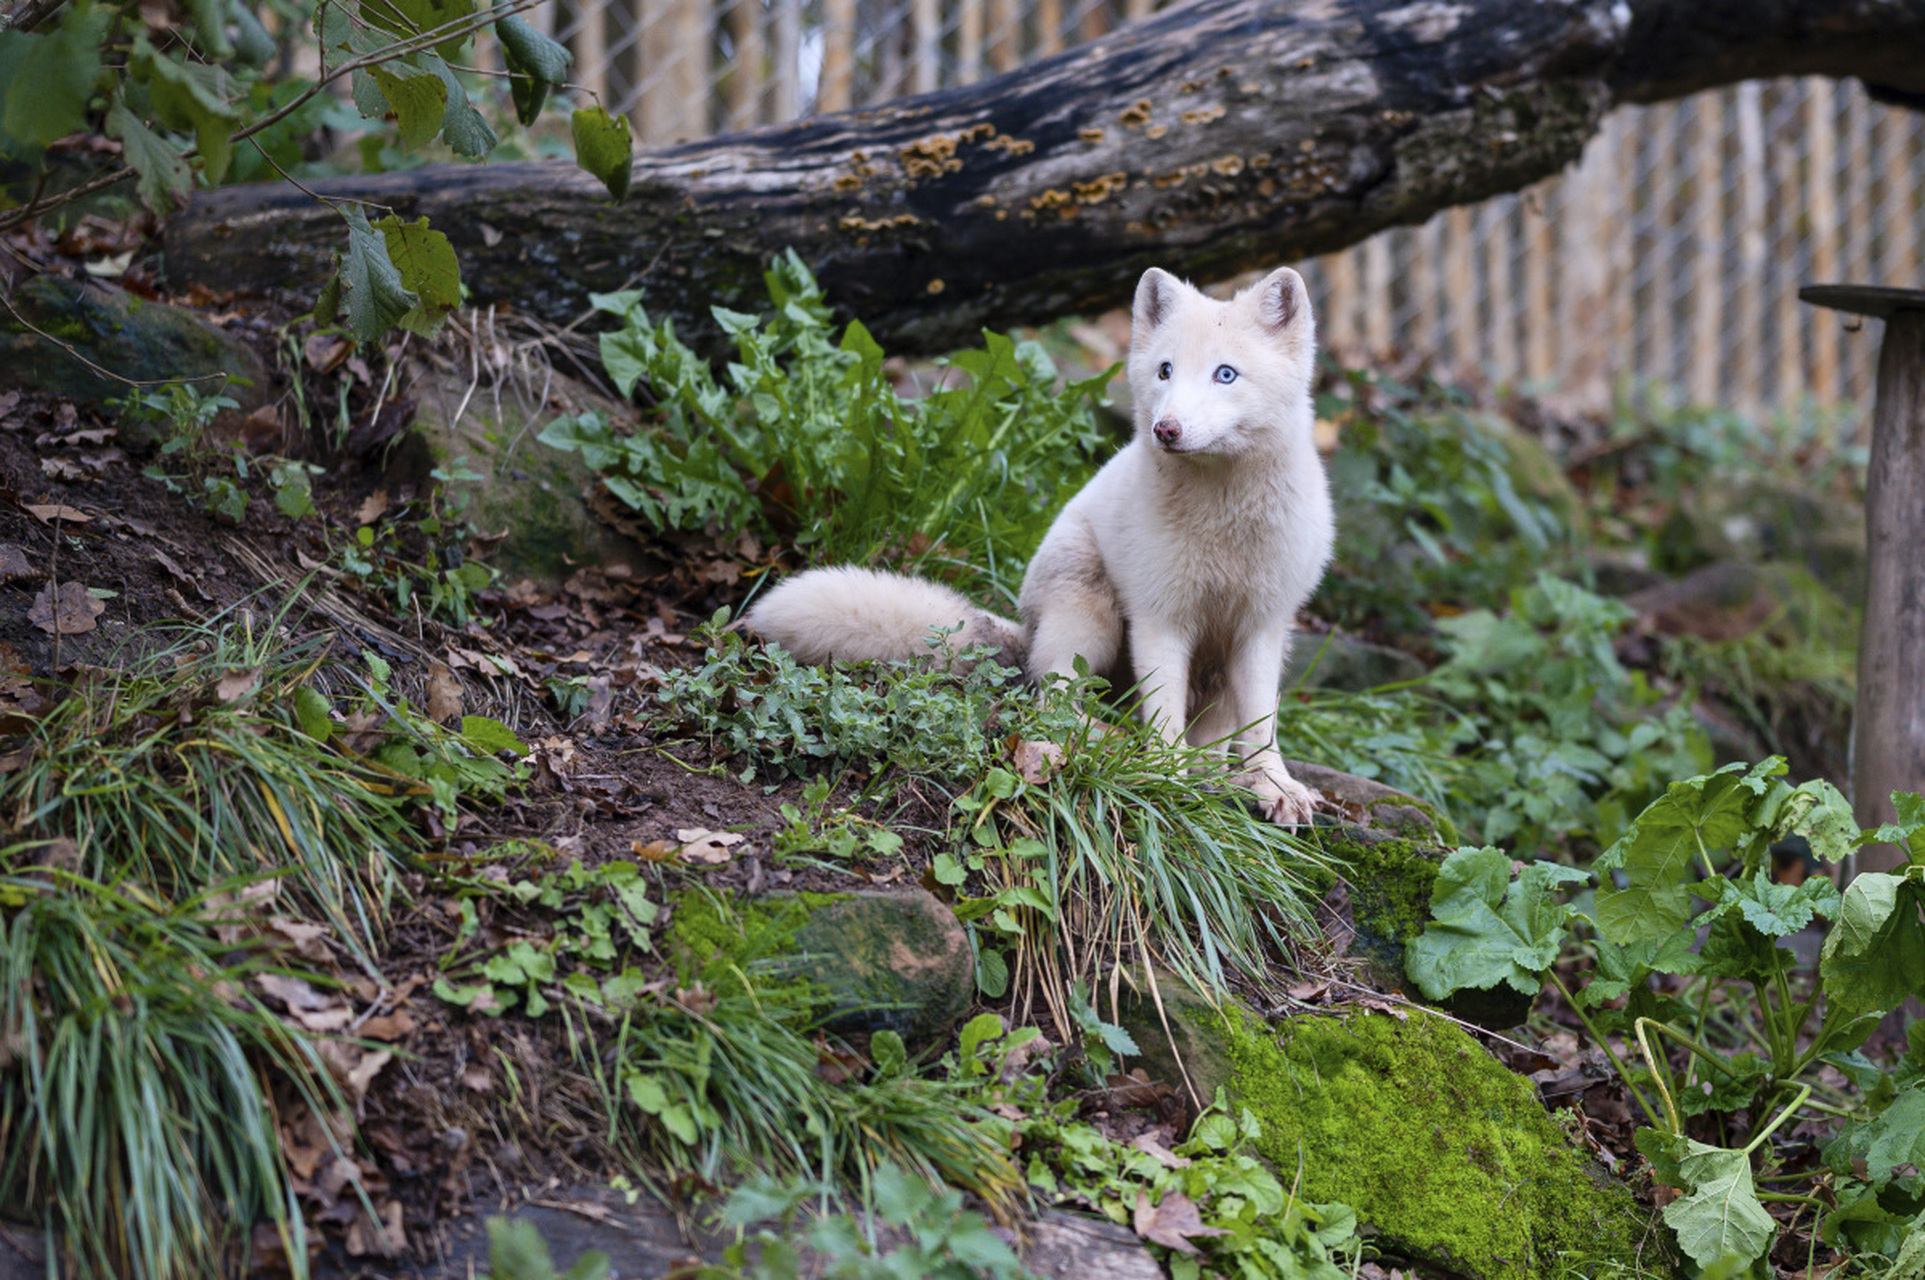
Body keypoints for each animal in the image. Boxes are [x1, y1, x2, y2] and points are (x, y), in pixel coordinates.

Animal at [743, 265, 1332, 823]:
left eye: (1225, 374)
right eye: (1165, 370)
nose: (1166, 429)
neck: (1227, 523)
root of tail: (1025, 625)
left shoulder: (1261, 627)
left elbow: (1262, 725)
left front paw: (1273, 787)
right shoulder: (1160, 619)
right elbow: (1164, 716)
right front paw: (1167, 774)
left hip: (1234, 656)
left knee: (1202, 733)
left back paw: (1210, 773)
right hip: (1091, 619)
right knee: (1052, 700)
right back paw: (1116, 744)